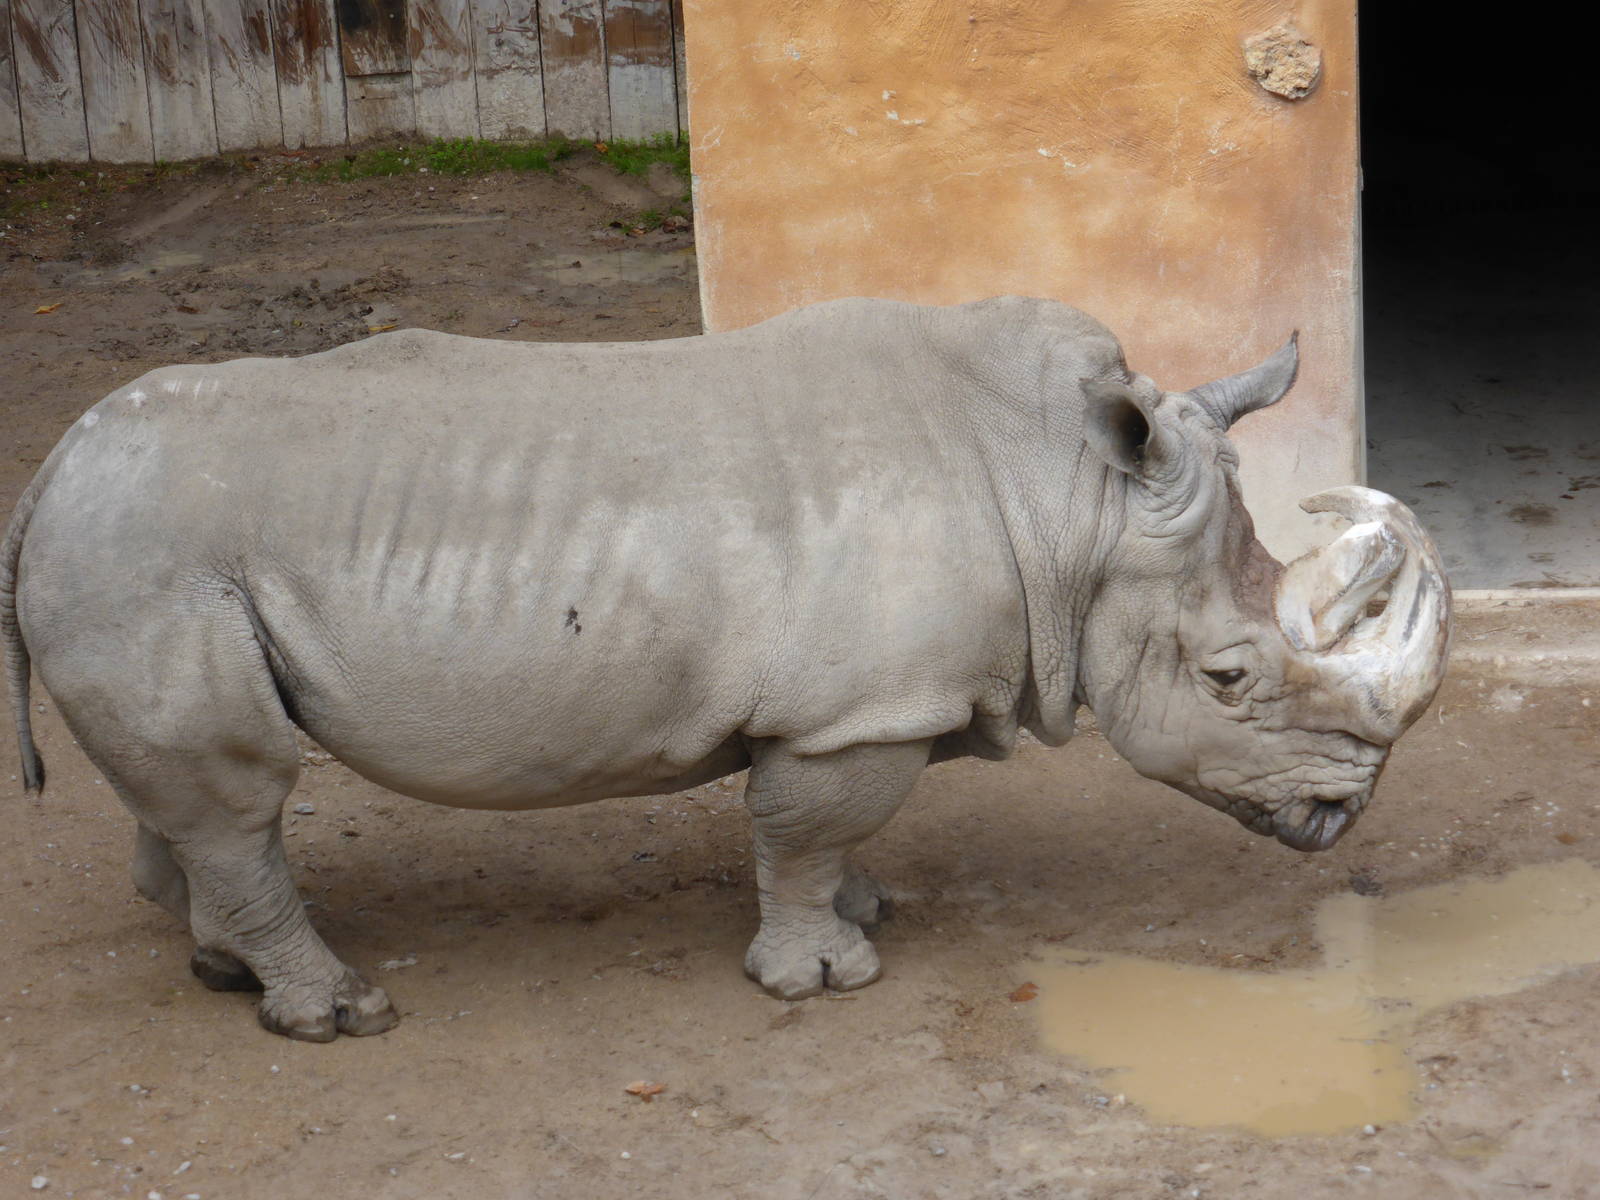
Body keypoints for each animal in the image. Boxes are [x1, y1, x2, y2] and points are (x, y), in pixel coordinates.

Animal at [2, 297, 1449, 1041]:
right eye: (1228, 679)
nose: (1345, 813)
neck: (1070, 502)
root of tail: (48, 475)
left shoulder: (866, 707)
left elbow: (833, 839)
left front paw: (869, 912)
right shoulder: (847, 716)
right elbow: (798, 837)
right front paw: (825, 981)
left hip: (145, 560)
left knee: (199, 800)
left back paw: (224, 973)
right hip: (146, 559)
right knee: (238, 797)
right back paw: (337, 1013)